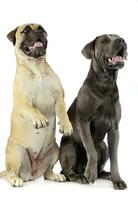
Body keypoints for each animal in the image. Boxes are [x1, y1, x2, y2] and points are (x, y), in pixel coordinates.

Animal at [0, 23, 73, 188]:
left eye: (42, 29)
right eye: (26, 30)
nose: (38, 31)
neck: (36, 68)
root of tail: (31, 173)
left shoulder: (59, 97)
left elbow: (62, 111)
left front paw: (66, 125)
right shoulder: (22, 102)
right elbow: (31, 109)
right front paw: (39, 119)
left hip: (54, 150)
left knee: (47, 172)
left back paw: (54, 176)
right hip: (15, 151)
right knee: (10, 172)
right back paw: (15, 179)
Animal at [59, 34, 127, 189]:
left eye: (118, 37)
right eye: (105, 40)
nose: (121, 40)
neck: (106, 83)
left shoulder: (114, 128)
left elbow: (115, 158)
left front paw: (117, 180)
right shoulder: (83, 121)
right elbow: (90, 148)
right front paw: (90, 173)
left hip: (103, 147)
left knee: (101, 162)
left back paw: (105, 174)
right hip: (69, 147)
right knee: (68, 172)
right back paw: (81, 176)